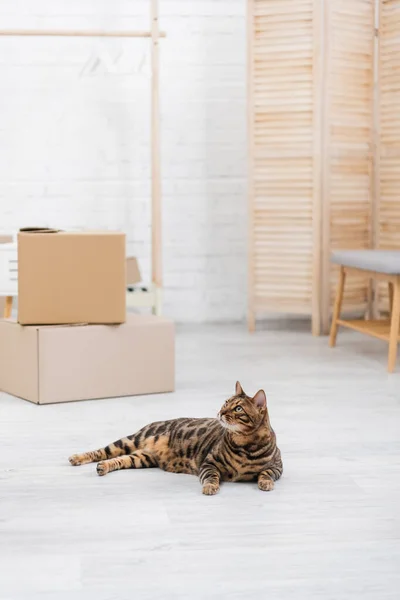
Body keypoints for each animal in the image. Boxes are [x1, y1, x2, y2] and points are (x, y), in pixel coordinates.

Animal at [68, 382, 282, 494]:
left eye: (238, 408)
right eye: (225, 402)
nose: (221, 412)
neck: (245, 445)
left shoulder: (277, 467)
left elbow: (266, 473)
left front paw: (265, 483)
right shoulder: (209, 463)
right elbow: (211, 476)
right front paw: (210, 487)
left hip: (142, 458)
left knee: (119, 459)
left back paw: (103, 467)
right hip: (131, 440)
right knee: (101, 451)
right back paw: (77, 458)